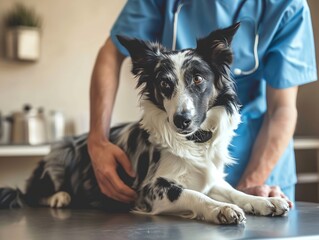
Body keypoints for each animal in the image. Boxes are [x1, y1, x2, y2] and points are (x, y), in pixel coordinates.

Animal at [0, 23, 290, 224]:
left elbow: (232, 191)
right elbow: (195, 195)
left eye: (197, 79)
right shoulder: (152, 189)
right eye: (164, 84)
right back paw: (59, 196)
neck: (193, 141)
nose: (181, 120)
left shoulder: (208, 177)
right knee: (29, 193)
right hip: (61, 152)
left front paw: (263, 201)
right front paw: (220, 209)